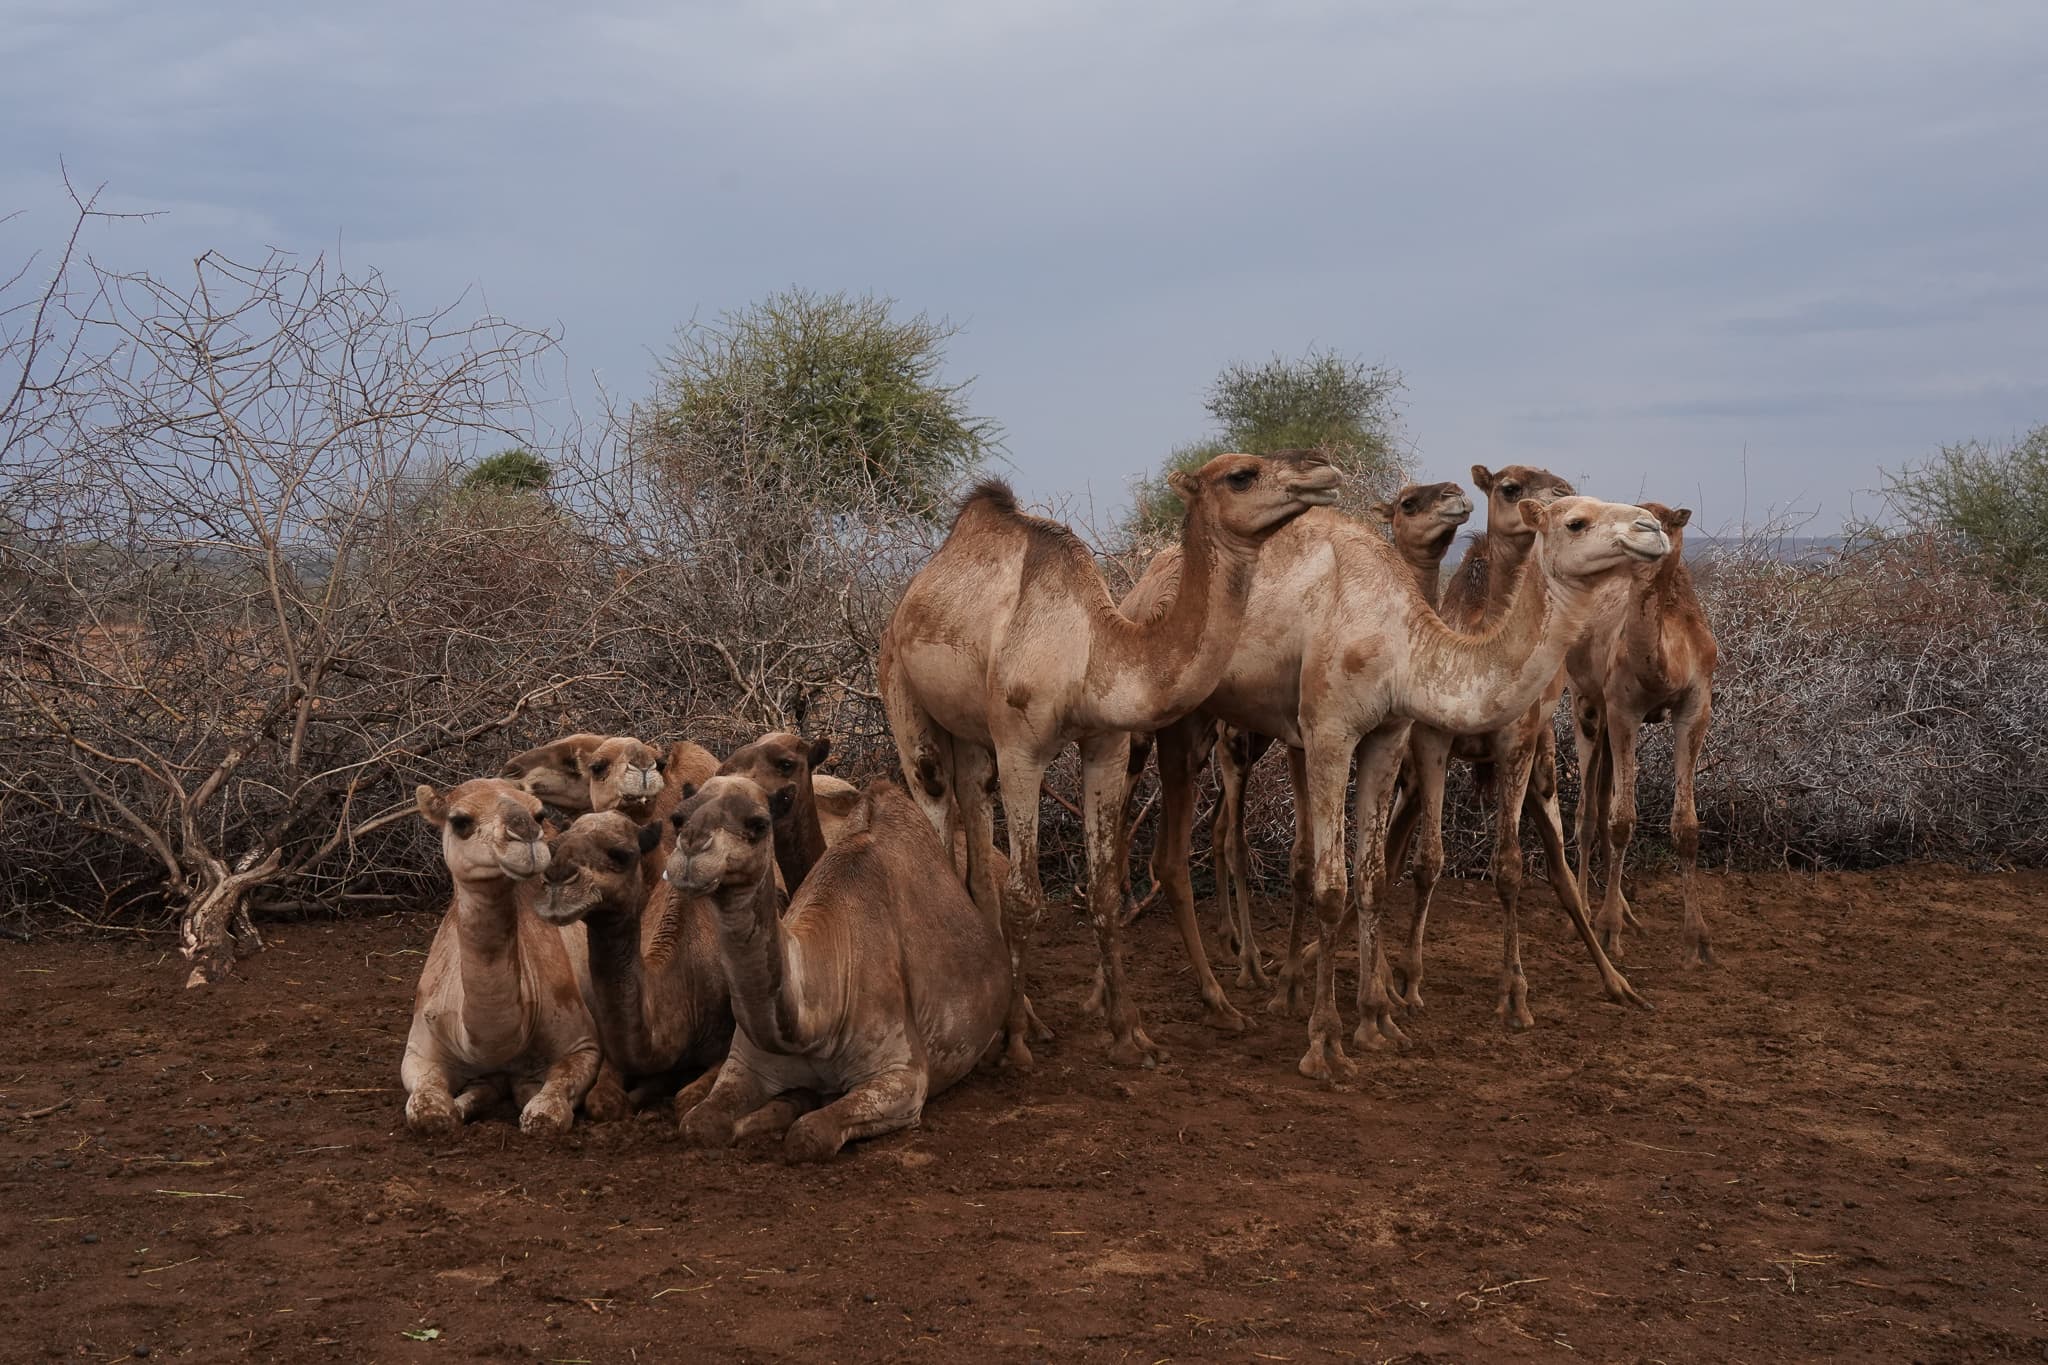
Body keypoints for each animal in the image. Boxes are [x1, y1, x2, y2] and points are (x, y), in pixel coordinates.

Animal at [401, 778, 602, 1136]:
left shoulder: (582, 1045)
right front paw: (457, 1106)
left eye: (538, 812)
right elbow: (430, 1113)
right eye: (460, 821)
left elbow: (545, 1115)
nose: (526, 834)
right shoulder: (418, 1051)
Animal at [530, 809, 734, 1120]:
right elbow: (601, 1102)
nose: (557, 878)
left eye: (622, 854)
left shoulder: (724, 1041)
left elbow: (685, 1099)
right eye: (552, 849)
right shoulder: (615, 1053)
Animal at [668, 777, 1010, 1162]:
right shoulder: (745, 1064)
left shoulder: (903, 1077)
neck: (816, 1021)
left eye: (758, 824)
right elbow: (700, 1124)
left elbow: (810, 1135)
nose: (692, 848)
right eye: (678, 818)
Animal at [880, 452, 1341, 1068]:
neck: (1092, 651)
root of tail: (907, 601)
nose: (1322, 470)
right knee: (935, 804)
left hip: (974, 739)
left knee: (975, 848)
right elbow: (1025, 897)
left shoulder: (1105, 745)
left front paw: (1129, 1033)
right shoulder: (1022, 749)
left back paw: (1026, 1015)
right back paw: (1005, 1024)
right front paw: (1016, 1046)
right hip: (905, 697)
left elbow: (1102, 887)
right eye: (1241, 475)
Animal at [1567, 502, 1718, 966]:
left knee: (1599, 799)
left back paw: (1625, 912)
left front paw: (1698, 942)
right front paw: (1608, 930)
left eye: (1664, 522)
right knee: (1586, 812)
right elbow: (1622, 821)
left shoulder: (1697, 705)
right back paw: (1583, 913)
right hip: (1584, 702)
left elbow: (1687, 825)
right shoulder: (1622, 709)